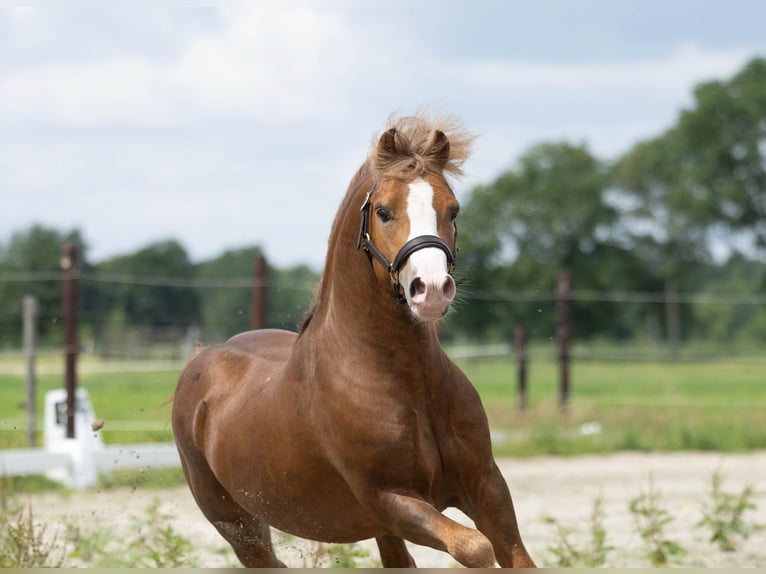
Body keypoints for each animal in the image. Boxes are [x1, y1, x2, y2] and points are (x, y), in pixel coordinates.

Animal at [171, 113, 536, 568]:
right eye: (383, 212)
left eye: (452, 209)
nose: (432, 290)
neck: (408, 381)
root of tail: (202, 360)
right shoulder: (391, 499)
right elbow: (475, 547)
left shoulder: (486, 485)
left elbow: (514, 554)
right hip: (237, 525)